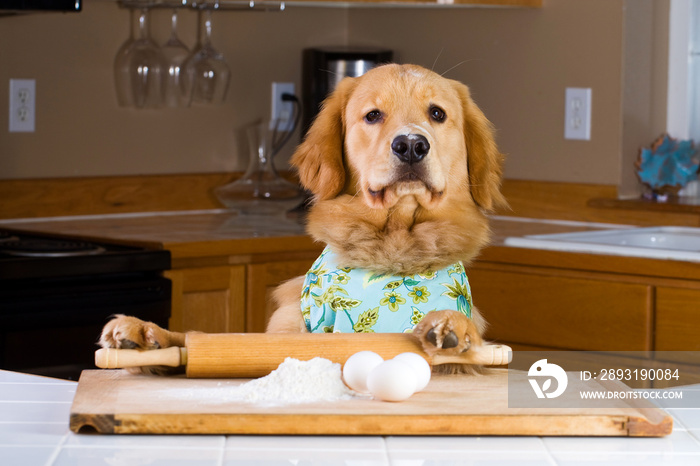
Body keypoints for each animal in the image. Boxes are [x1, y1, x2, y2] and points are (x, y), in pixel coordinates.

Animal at [100, 62, 504, 374]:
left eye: (437, 114)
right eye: (373, 115)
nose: (410, 146)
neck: (391, 248)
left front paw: (450, 328)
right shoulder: (287, 331)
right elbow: (205, 340)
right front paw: (145, 334)